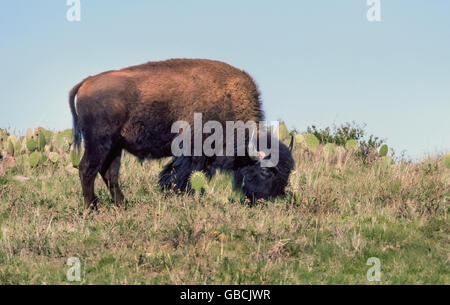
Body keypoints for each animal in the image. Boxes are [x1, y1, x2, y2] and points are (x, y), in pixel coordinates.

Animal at [69, 58, 296, 208]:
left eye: (287, 173)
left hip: (116, 147)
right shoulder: (191, 152)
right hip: (99, 143)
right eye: (265, 171)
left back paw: (122, 205)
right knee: (87, 169)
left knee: (110, 173)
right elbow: (177, 176)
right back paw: (91, 208)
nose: (272, 201)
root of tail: (86, 82)